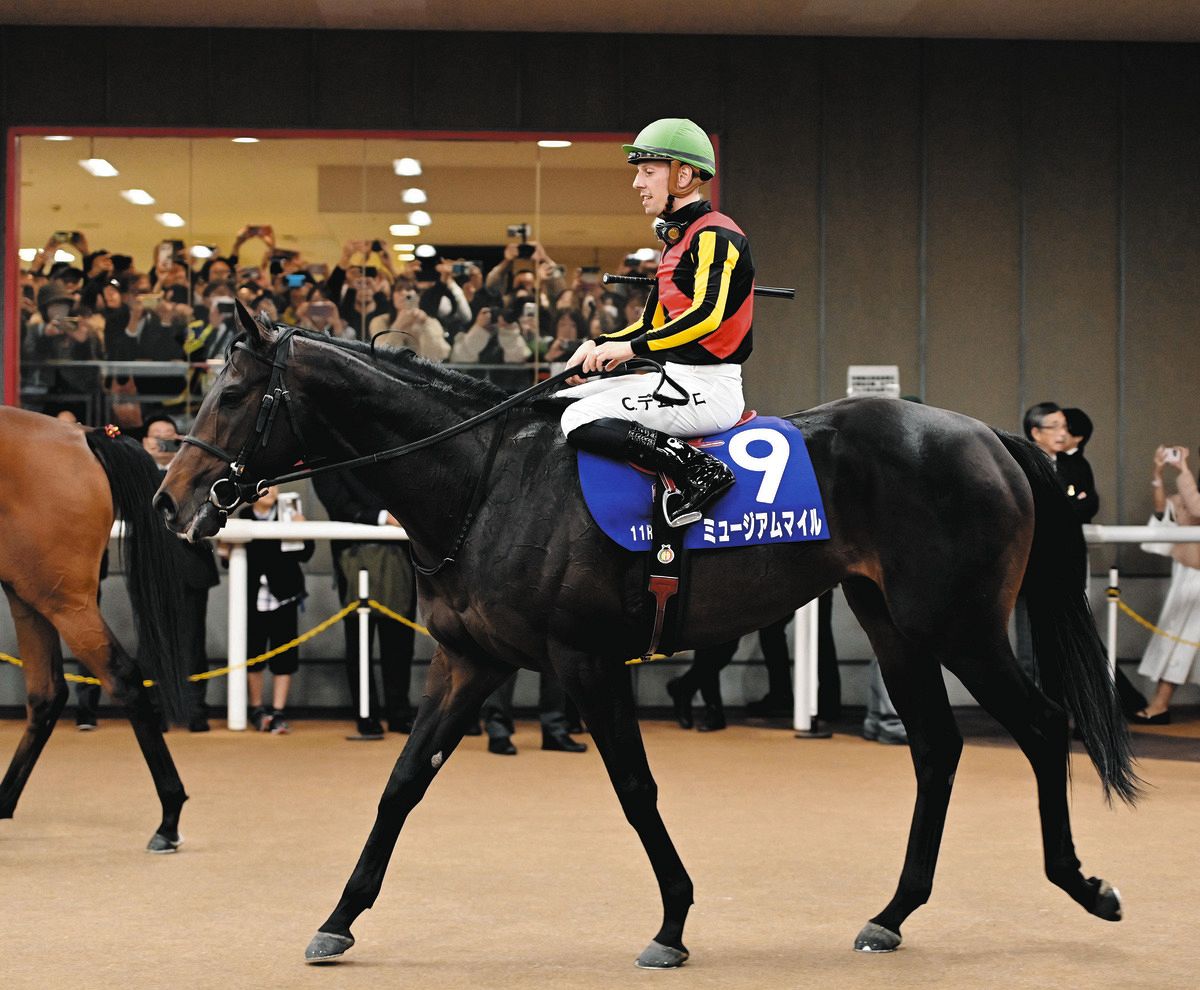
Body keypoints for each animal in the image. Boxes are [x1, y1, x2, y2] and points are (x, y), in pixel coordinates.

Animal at [0, 406, 192, 852]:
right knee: (46, 693)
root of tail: (84, 436)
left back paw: (168, 819)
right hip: (28, 595)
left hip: (64, 600)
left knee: (122, 676)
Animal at [154, 305, 1137, 967]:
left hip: (959, 626)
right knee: (936, 749)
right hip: (892, 623)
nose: (170, 502)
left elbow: (634, 788)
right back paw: (892, 914)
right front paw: (339, 918)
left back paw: (1083, 884)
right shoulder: (469, 661)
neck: (486, 481)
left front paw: (672, 922)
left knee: (1044, 727)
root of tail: (988, 436)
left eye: (232, 393)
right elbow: (402, 784)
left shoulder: (585, 660)